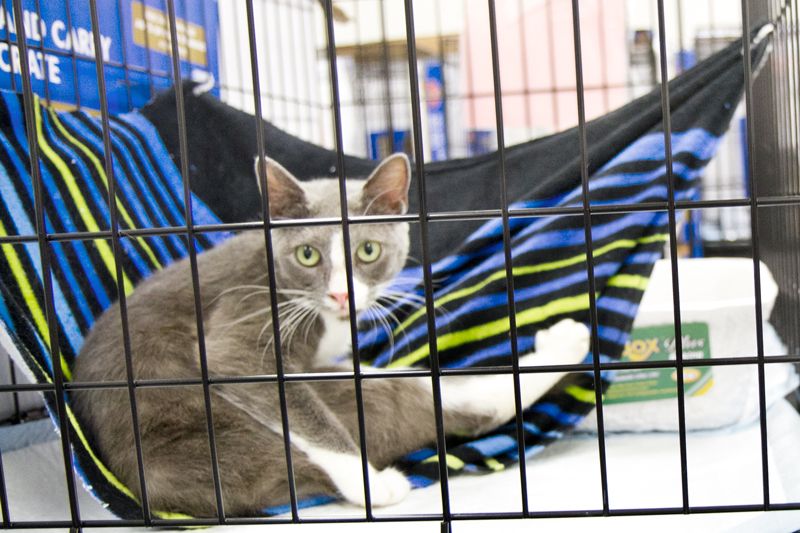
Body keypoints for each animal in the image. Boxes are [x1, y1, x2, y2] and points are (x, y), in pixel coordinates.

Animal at [72, 153, 592, 516]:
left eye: (368, 250)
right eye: (307, 255)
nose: (343, 295)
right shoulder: (242, 320)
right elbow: (268, 382)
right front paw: (369, 483)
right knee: (448, 405)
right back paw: (567, 341)